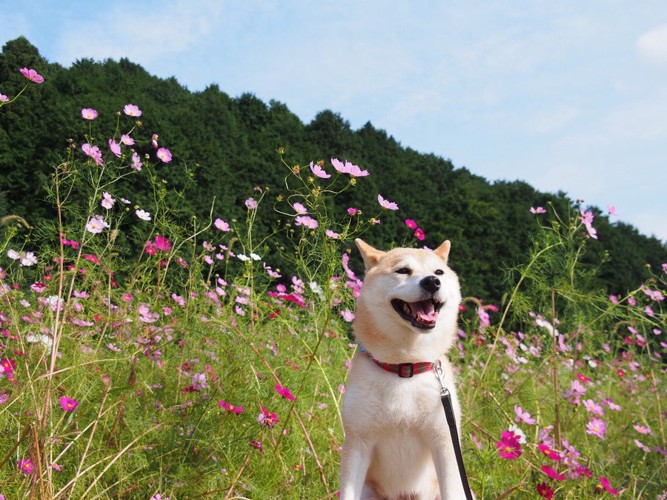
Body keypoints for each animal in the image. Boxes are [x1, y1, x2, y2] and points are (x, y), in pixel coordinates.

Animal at [342, 238, 468, 500]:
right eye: (403, 270)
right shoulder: (358, 441)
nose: (432, 281)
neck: (405, 368)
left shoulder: (445, 442)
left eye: (439, 272)